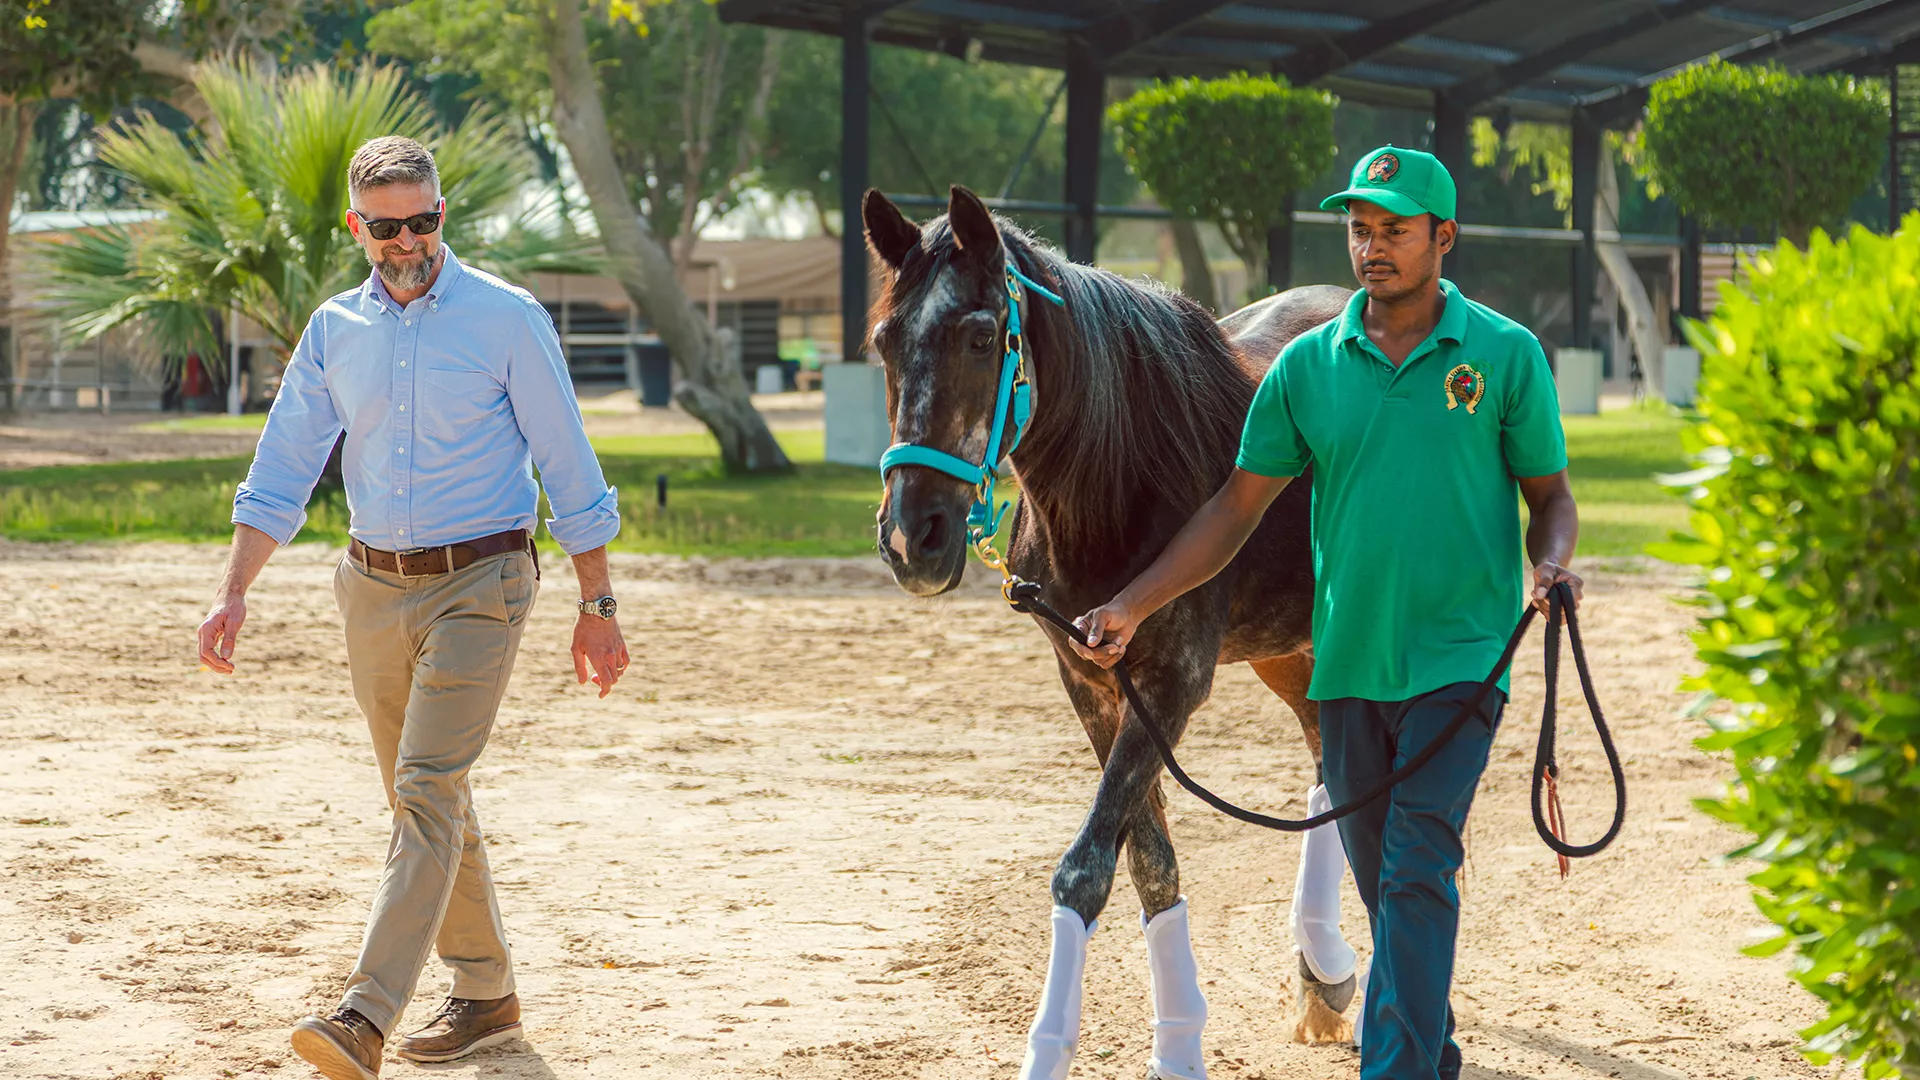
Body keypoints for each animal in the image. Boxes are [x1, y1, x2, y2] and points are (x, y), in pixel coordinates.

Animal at [865, 184, 1360, 1080]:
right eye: (885, 341)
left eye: (982, 336)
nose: (912, 538)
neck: (1123, 475)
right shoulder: (1094, 683)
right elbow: (1149, 864)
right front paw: (1180, 1045)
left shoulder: (1171, 684)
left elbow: (1086, 870)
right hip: (1286, 652)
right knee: (1326, 769)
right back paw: (1323, 973)